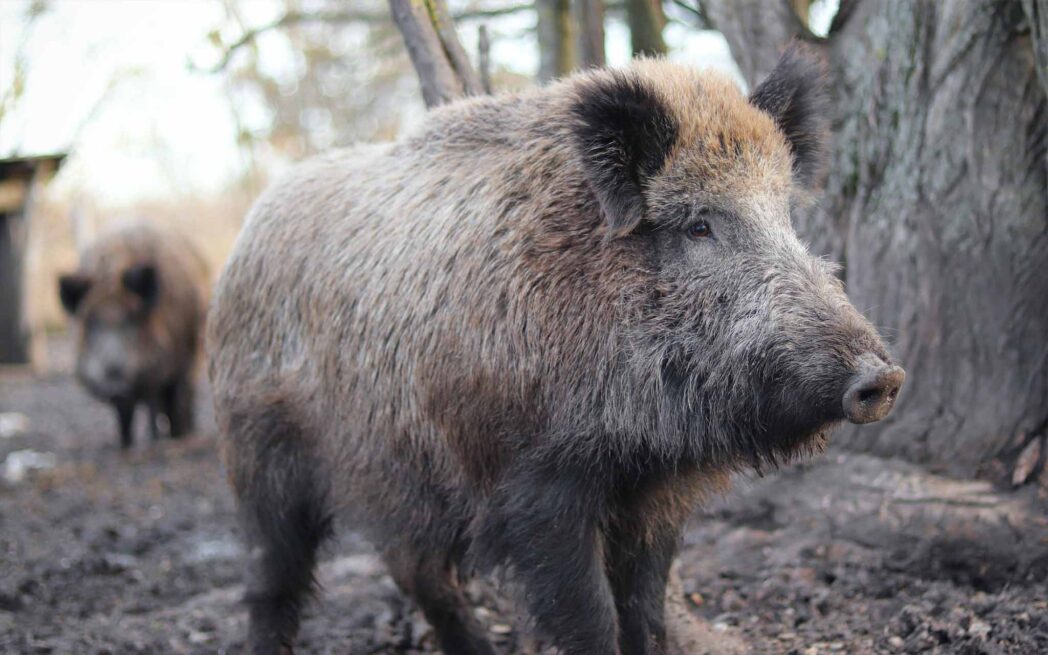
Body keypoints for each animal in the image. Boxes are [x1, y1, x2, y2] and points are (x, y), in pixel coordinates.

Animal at [58, 223, 208, 449]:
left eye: (132, 318)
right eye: (91, 322)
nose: (115, 384)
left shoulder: (179, 360)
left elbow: (172, 400)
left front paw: (168, 439)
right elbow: (125, 414)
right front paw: (126, 445)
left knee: (179, 399)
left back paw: (179, 434)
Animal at [208, 46, 904, 655]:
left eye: (785, 215)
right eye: (699, 224)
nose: (884, 377)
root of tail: (244, 235)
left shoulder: (656, 492)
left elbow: (645, 611)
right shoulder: (535, 482)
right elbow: (589, 616)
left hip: (394, 472)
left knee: (416, 569)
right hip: (260, 454)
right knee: (272, 581)